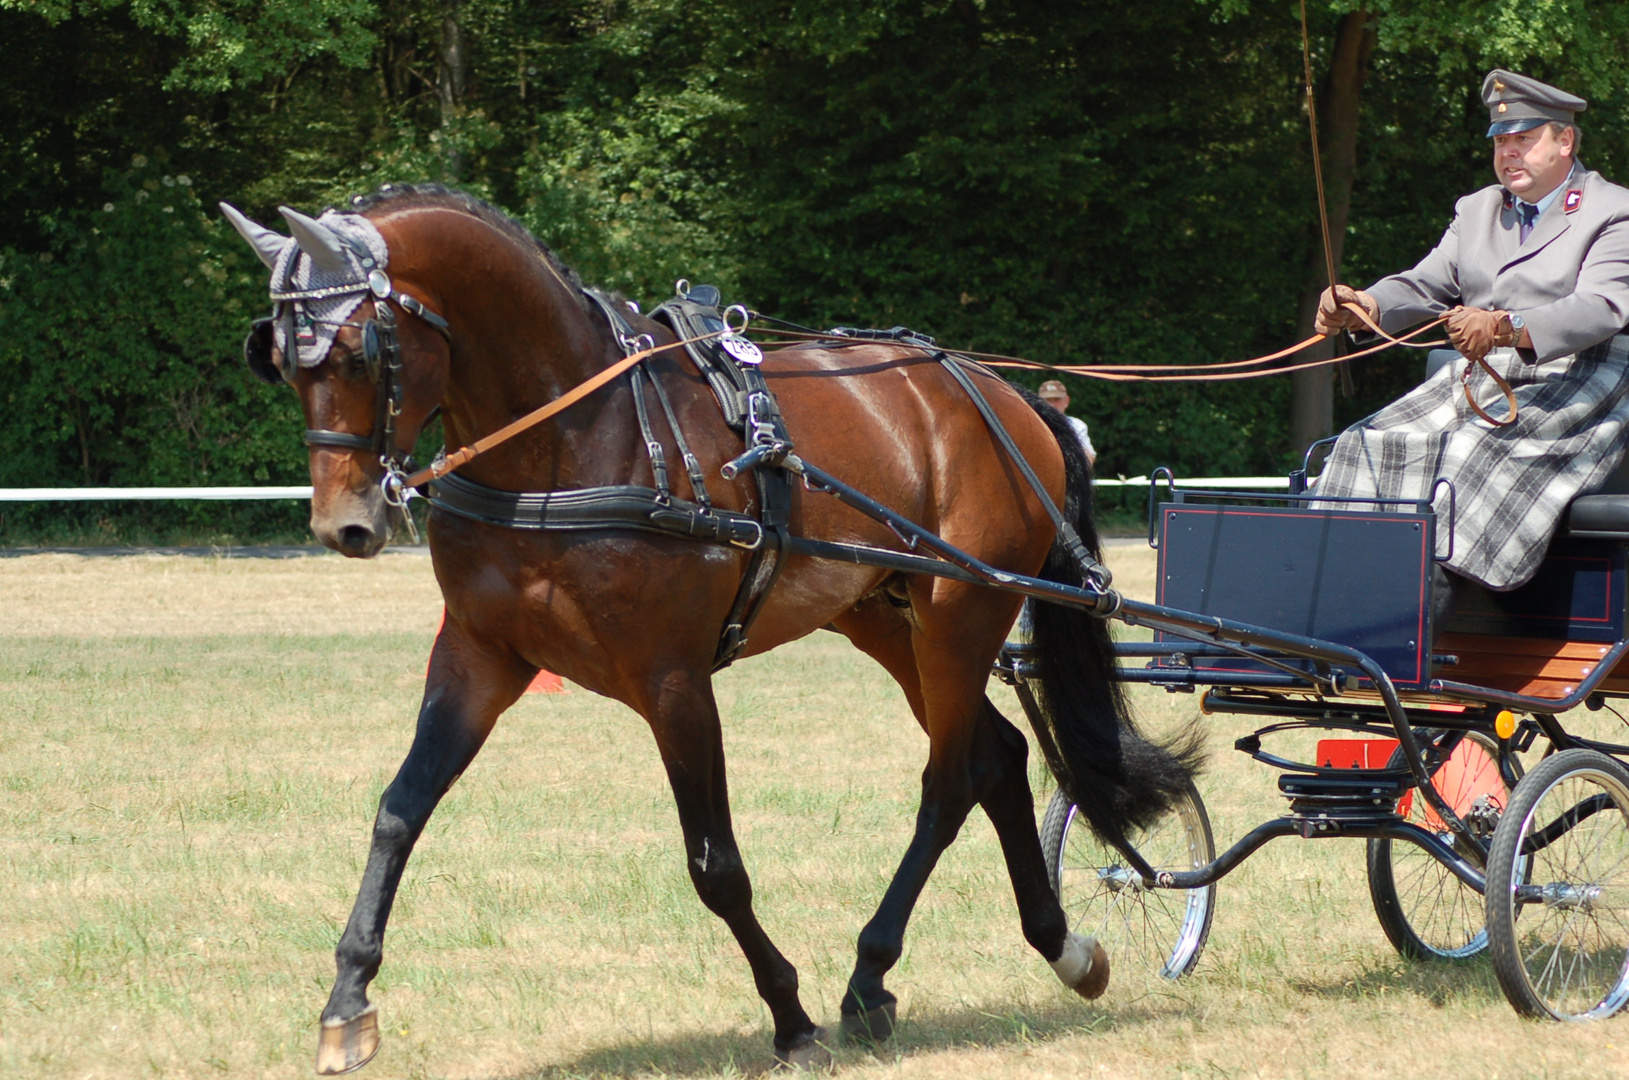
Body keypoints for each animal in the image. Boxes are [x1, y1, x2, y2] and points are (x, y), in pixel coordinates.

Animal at [223, 184, 1198, 1075]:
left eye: (357, 352)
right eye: (281, 359)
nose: (344, 526)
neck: (568, 440)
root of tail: (1003, 394)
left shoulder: (673, 681)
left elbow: (714, 864)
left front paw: (790, 1017)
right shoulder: (477, 654)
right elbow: (399, 810)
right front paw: (348, 1000)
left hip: (961, 615)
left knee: (949, 779)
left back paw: (868, 976)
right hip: (885, 616)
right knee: (997, 757)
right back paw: (1056, 947)